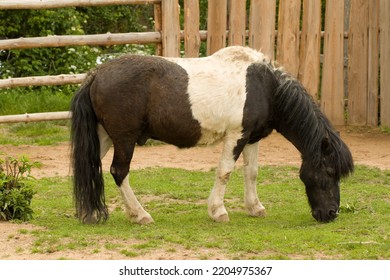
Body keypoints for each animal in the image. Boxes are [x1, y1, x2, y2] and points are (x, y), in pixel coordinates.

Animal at [69, 46, 354, 225]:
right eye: (329, 172)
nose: (331, 213)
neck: (266, 87)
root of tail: (97, 74)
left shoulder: (252, 138)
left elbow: (251, 173)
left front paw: (255, 208)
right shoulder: (236, 136)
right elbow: (225, 172)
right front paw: (218, 212)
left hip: (104, 137)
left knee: (89, 166)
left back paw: (89, 214)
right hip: (124, 139)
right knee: (119, 172)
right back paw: (140, 215)